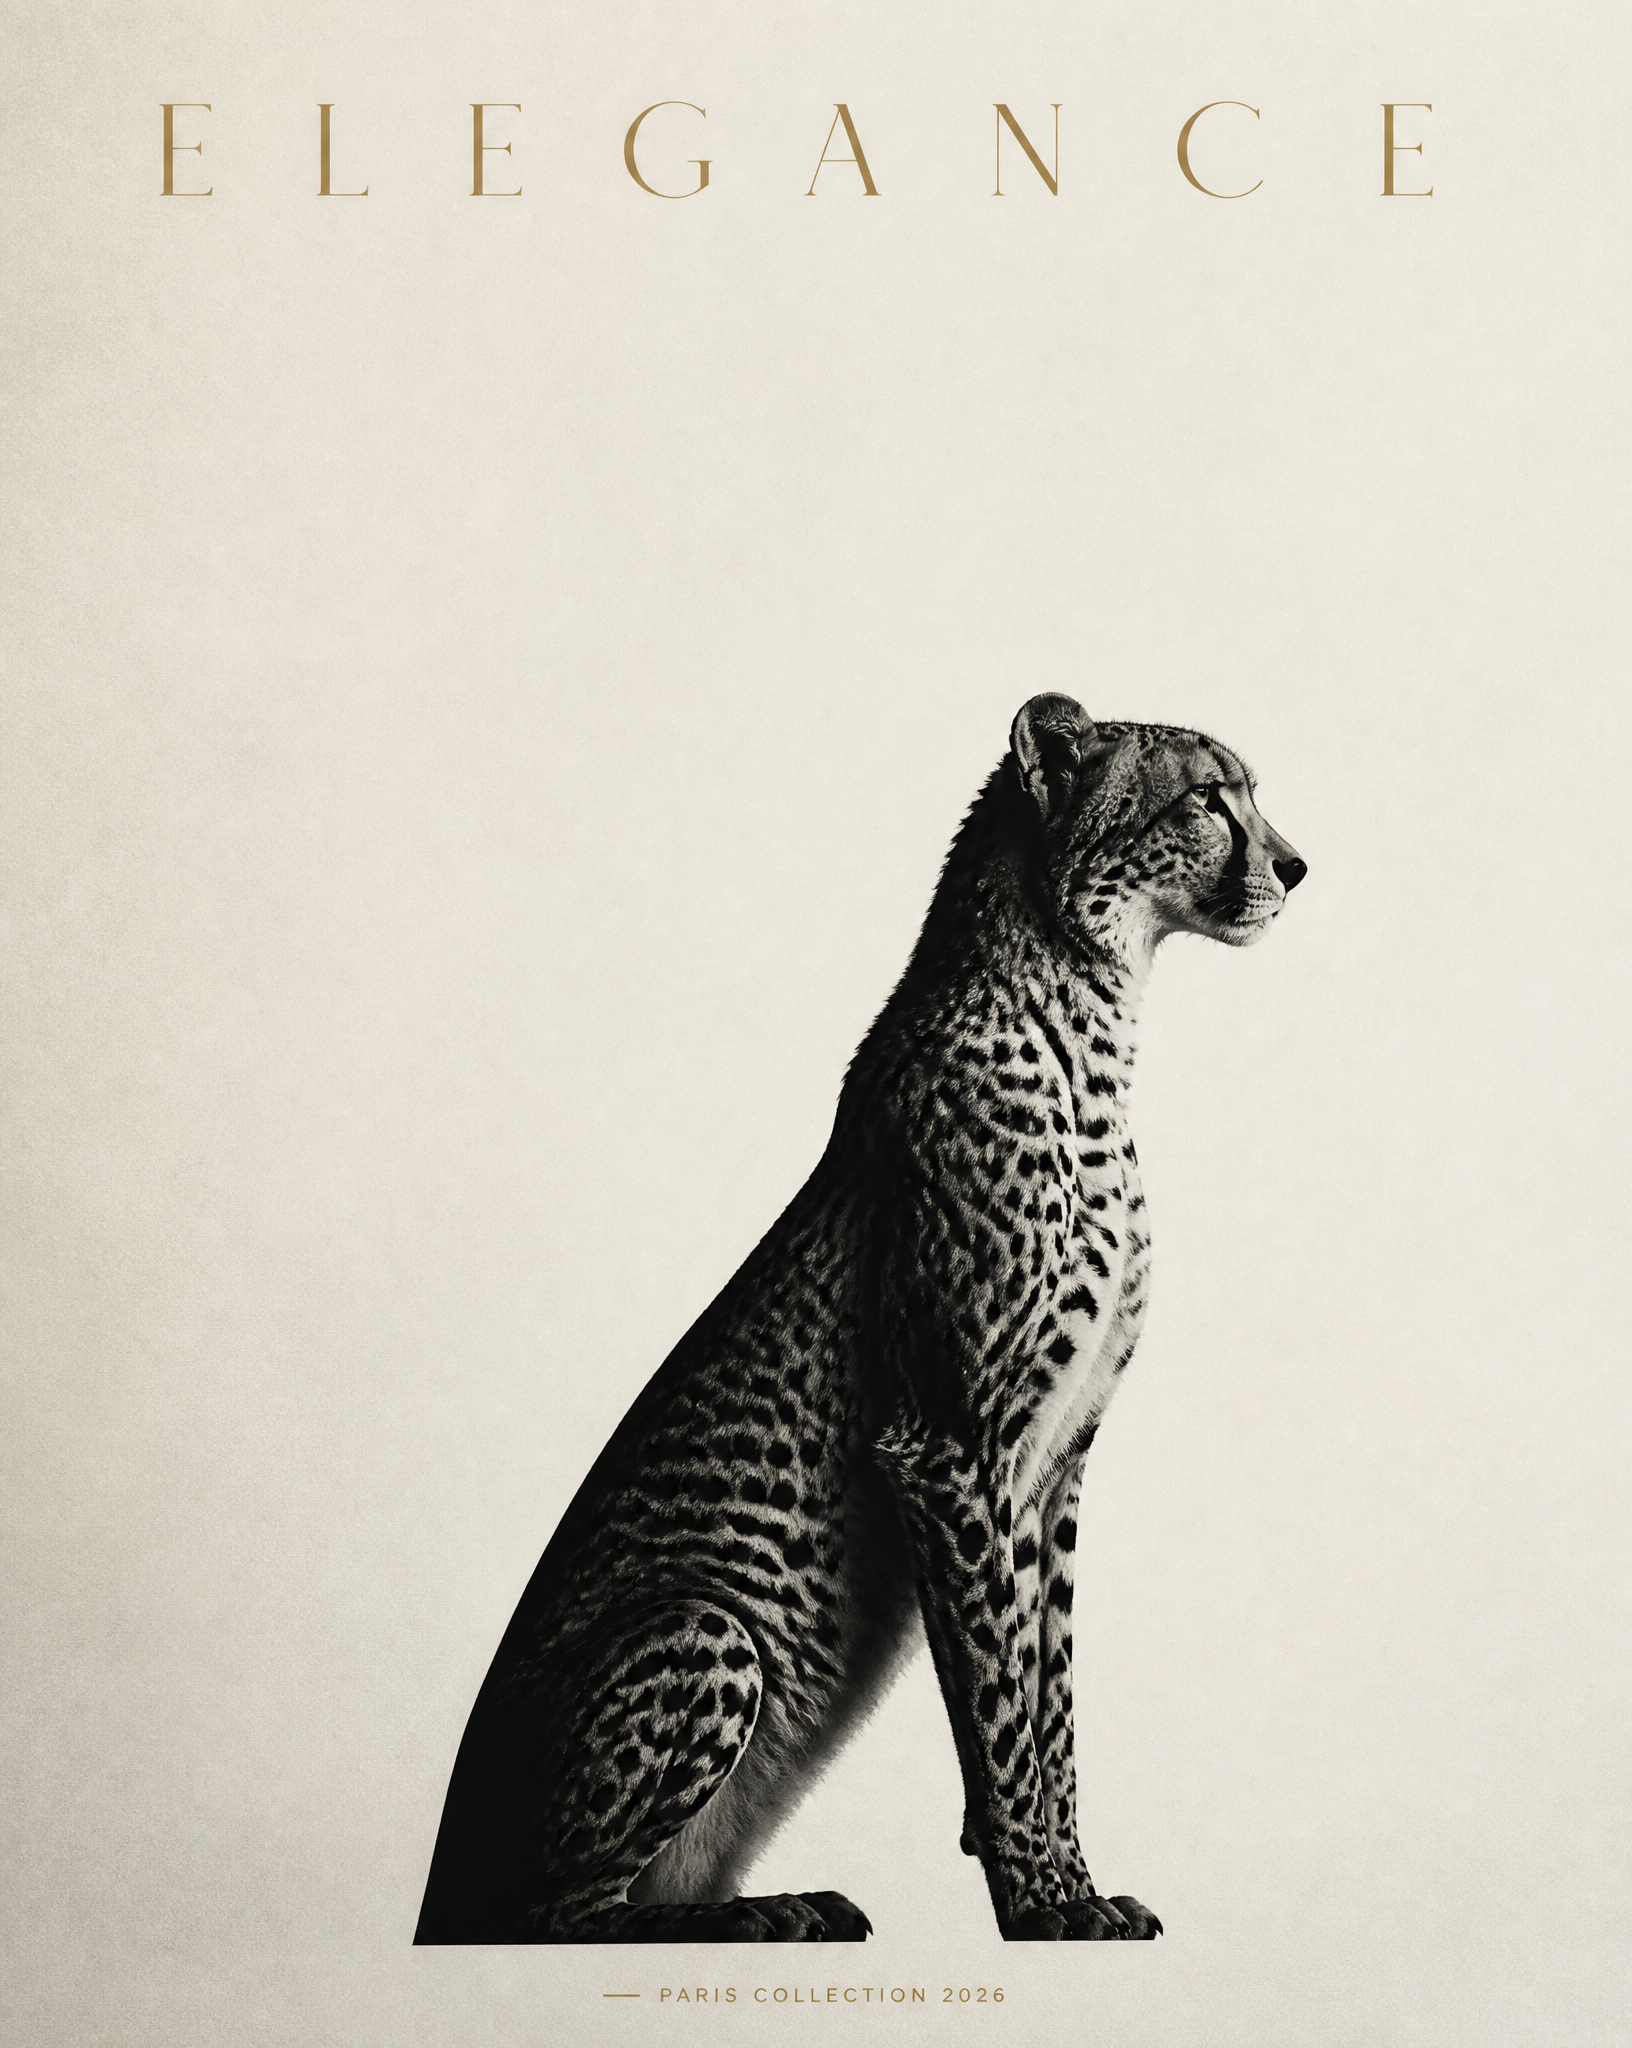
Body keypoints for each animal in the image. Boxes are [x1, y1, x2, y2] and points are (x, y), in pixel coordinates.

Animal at [414, 693, 1306, 1945]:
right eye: (1206, 798)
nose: (1297, 864)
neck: (1084, 1012)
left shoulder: (1057, 1459)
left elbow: (1050, 1695)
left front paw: (1070, 1877)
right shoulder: (948, 1447)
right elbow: (998, 1698)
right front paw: (1039, 1897)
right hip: (708, 1623)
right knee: (553, 1911)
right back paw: (759, 1913)